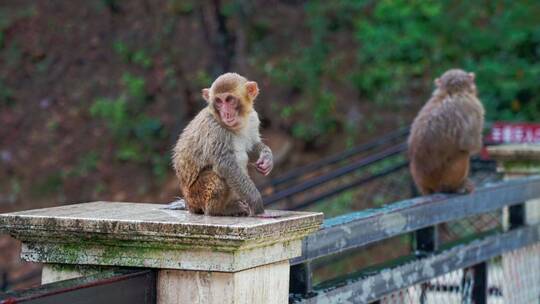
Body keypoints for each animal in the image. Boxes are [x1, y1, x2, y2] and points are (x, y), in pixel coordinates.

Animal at [173, 73, 274, 216]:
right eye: (219, 101)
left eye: (229, 99)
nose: (225, 113)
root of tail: (189, 205)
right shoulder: (215, 130)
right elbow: (226, 166)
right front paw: (257, 205)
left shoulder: (253, 118)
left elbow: (252, 146)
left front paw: (267, 158)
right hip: (196, 197)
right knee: (217, 177)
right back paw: (220, 210)